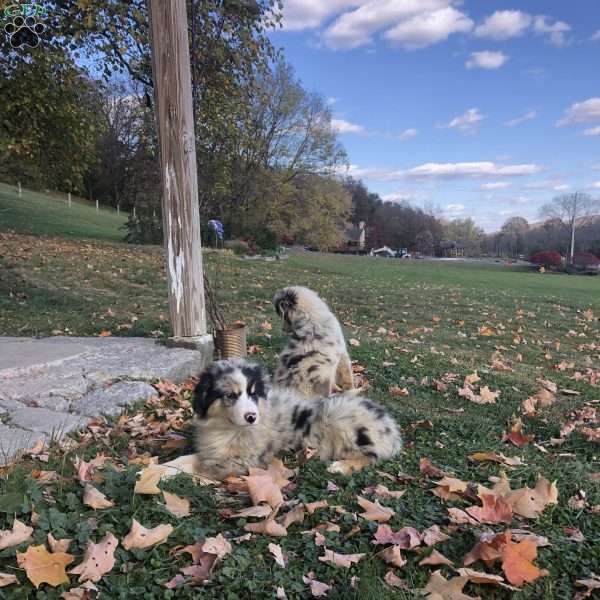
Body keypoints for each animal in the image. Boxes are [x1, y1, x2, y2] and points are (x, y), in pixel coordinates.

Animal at [192, 358, 400, 480]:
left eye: (254, 394)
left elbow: (204, 467)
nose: (252, 417)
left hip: (338, 414)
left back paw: (340, 466)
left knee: (371, 456)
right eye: (230, 395)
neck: (228, 427)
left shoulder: (249, 459)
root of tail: (390, 427)